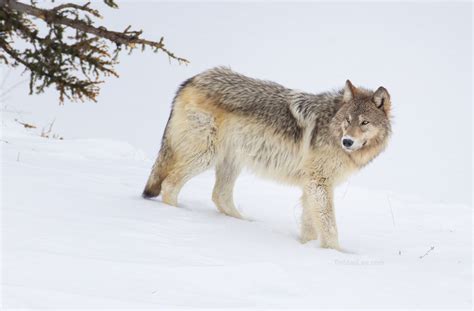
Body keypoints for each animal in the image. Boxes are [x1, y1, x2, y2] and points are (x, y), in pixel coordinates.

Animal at [142, 67, 392, 250]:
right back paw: (179, 217)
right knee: (169, 185)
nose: (347, 142)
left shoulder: (311, 186)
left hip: (231, 161)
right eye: (347, 120)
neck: (331, 126)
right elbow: (329, 227)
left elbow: (310, 226)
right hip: (206, 155)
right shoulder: (318, 184)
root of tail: (192, 79)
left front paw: (308, 248)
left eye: (364, 122)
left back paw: (244, 223)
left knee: (219, 196)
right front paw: (336, 253)